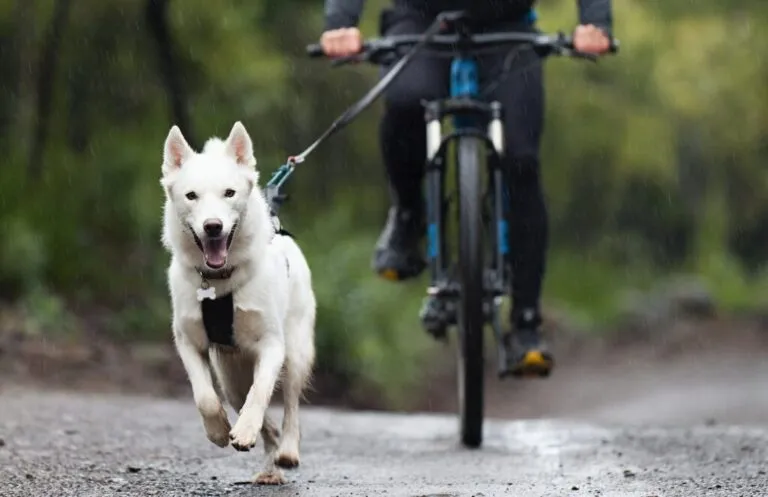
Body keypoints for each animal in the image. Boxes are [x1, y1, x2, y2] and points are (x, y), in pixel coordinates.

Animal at [160, 121, 316, 484]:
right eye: (191, 196)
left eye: (229, 193)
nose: (213, 226)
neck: (219, 282)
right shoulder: (188, 341)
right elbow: (204, 396)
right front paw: (219, 430)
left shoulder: (272, 345)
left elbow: (260, 393)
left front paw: (244, 430)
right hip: (230, 377)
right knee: (257, 414)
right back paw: (270, 464)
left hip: (296, 352)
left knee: (289, 406)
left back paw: (287, 450)